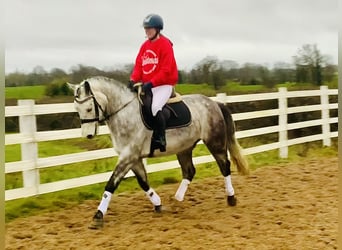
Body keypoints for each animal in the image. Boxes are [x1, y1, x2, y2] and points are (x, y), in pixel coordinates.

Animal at [67, 75, 248, 229]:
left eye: (89, 108)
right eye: (77, 108)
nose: (88, 135)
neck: (125, 114)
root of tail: (215, 103)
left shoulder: (128, 157)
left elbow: (111, 184)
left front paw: (98, 216)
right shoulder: (133, 158)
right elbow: (143, 182)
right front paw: (158, 204)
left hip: (215, 142)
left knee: (224, 166)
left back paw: (231, 198)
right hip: (184, 148)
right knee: (189, 171)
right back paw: (177, 200)